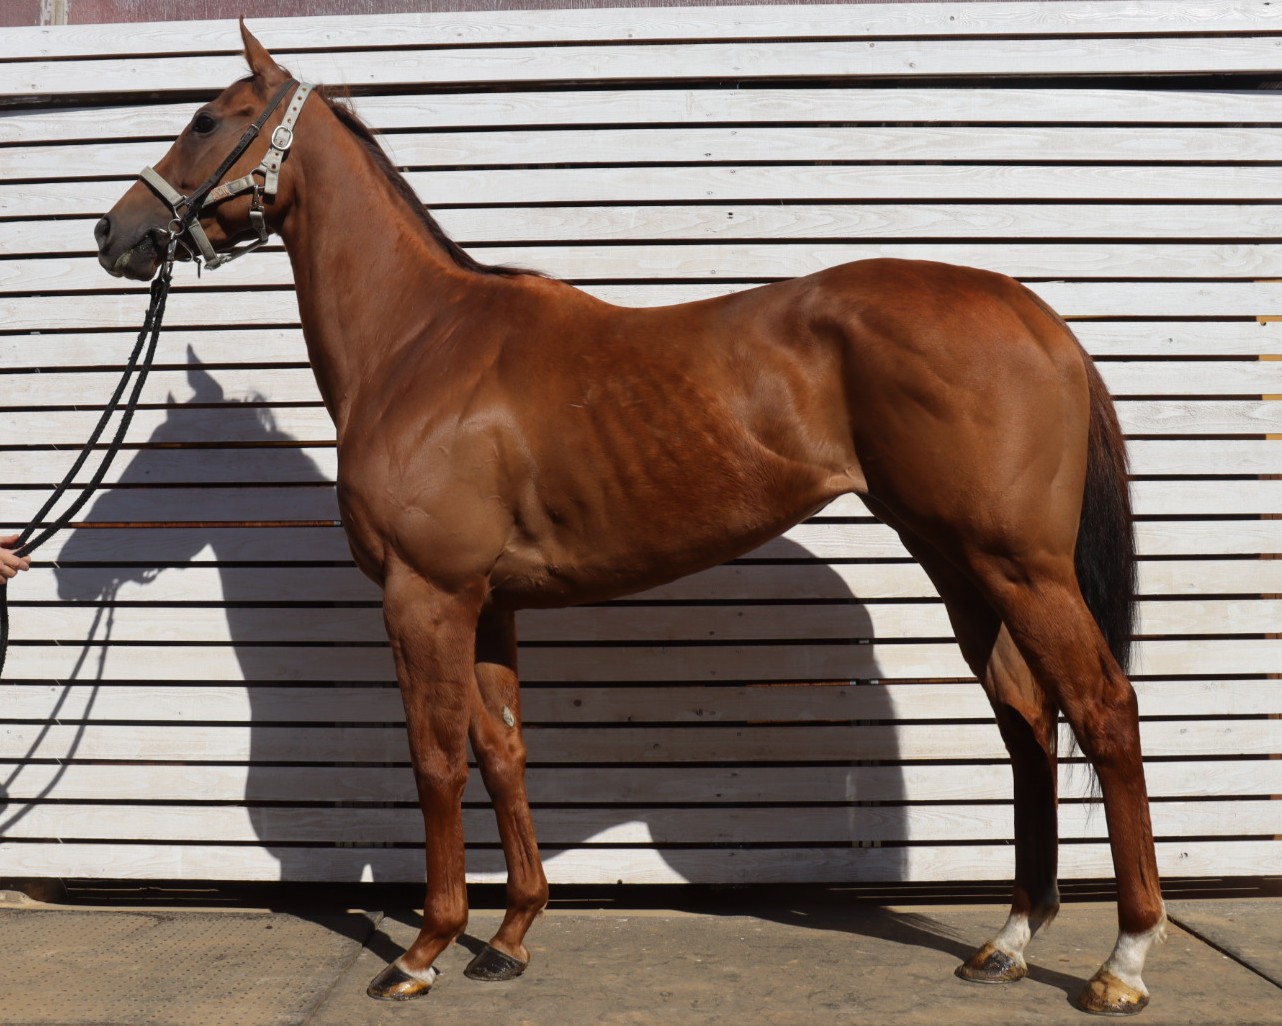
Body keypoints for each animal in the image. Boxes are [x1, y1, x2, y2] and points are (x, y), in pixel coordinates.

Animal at [93, 24, 1165, 1016]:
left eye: (206, 119)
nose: (114, 233)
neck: (419, 343)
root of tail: (1034, 315)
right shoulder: (490, 605)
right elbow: (503, 749)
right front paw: (509, 939)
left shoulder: (425, 597)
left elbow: (435, 758)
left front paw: (424, 950)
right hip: (959, 565)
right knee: (1027, 720)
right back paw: (1010, 940)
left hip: (1020, 566)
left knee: (1103, 708)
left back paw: (1122, 962)